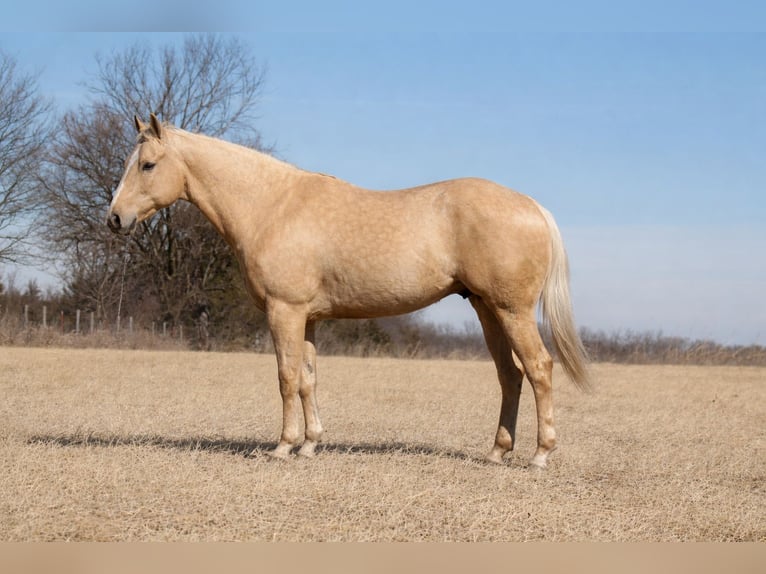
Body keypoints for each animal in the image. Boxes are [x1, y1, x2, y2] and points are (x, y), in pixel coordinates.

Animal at [107, 113, 590, 469]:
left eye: (147, 164)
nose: (115, 218)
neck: (272, 206)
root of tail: (532, 206)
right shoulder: (307, 318)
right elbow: (308, 379)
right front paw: (309, 444)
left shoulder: (284, 311)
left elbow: (286, 377)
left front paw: (282, 447)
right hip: (488, 310)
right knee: (510, 375)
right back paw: (496, 452)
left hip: (512, 310)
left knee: (539, 369)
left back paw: (540, 455)